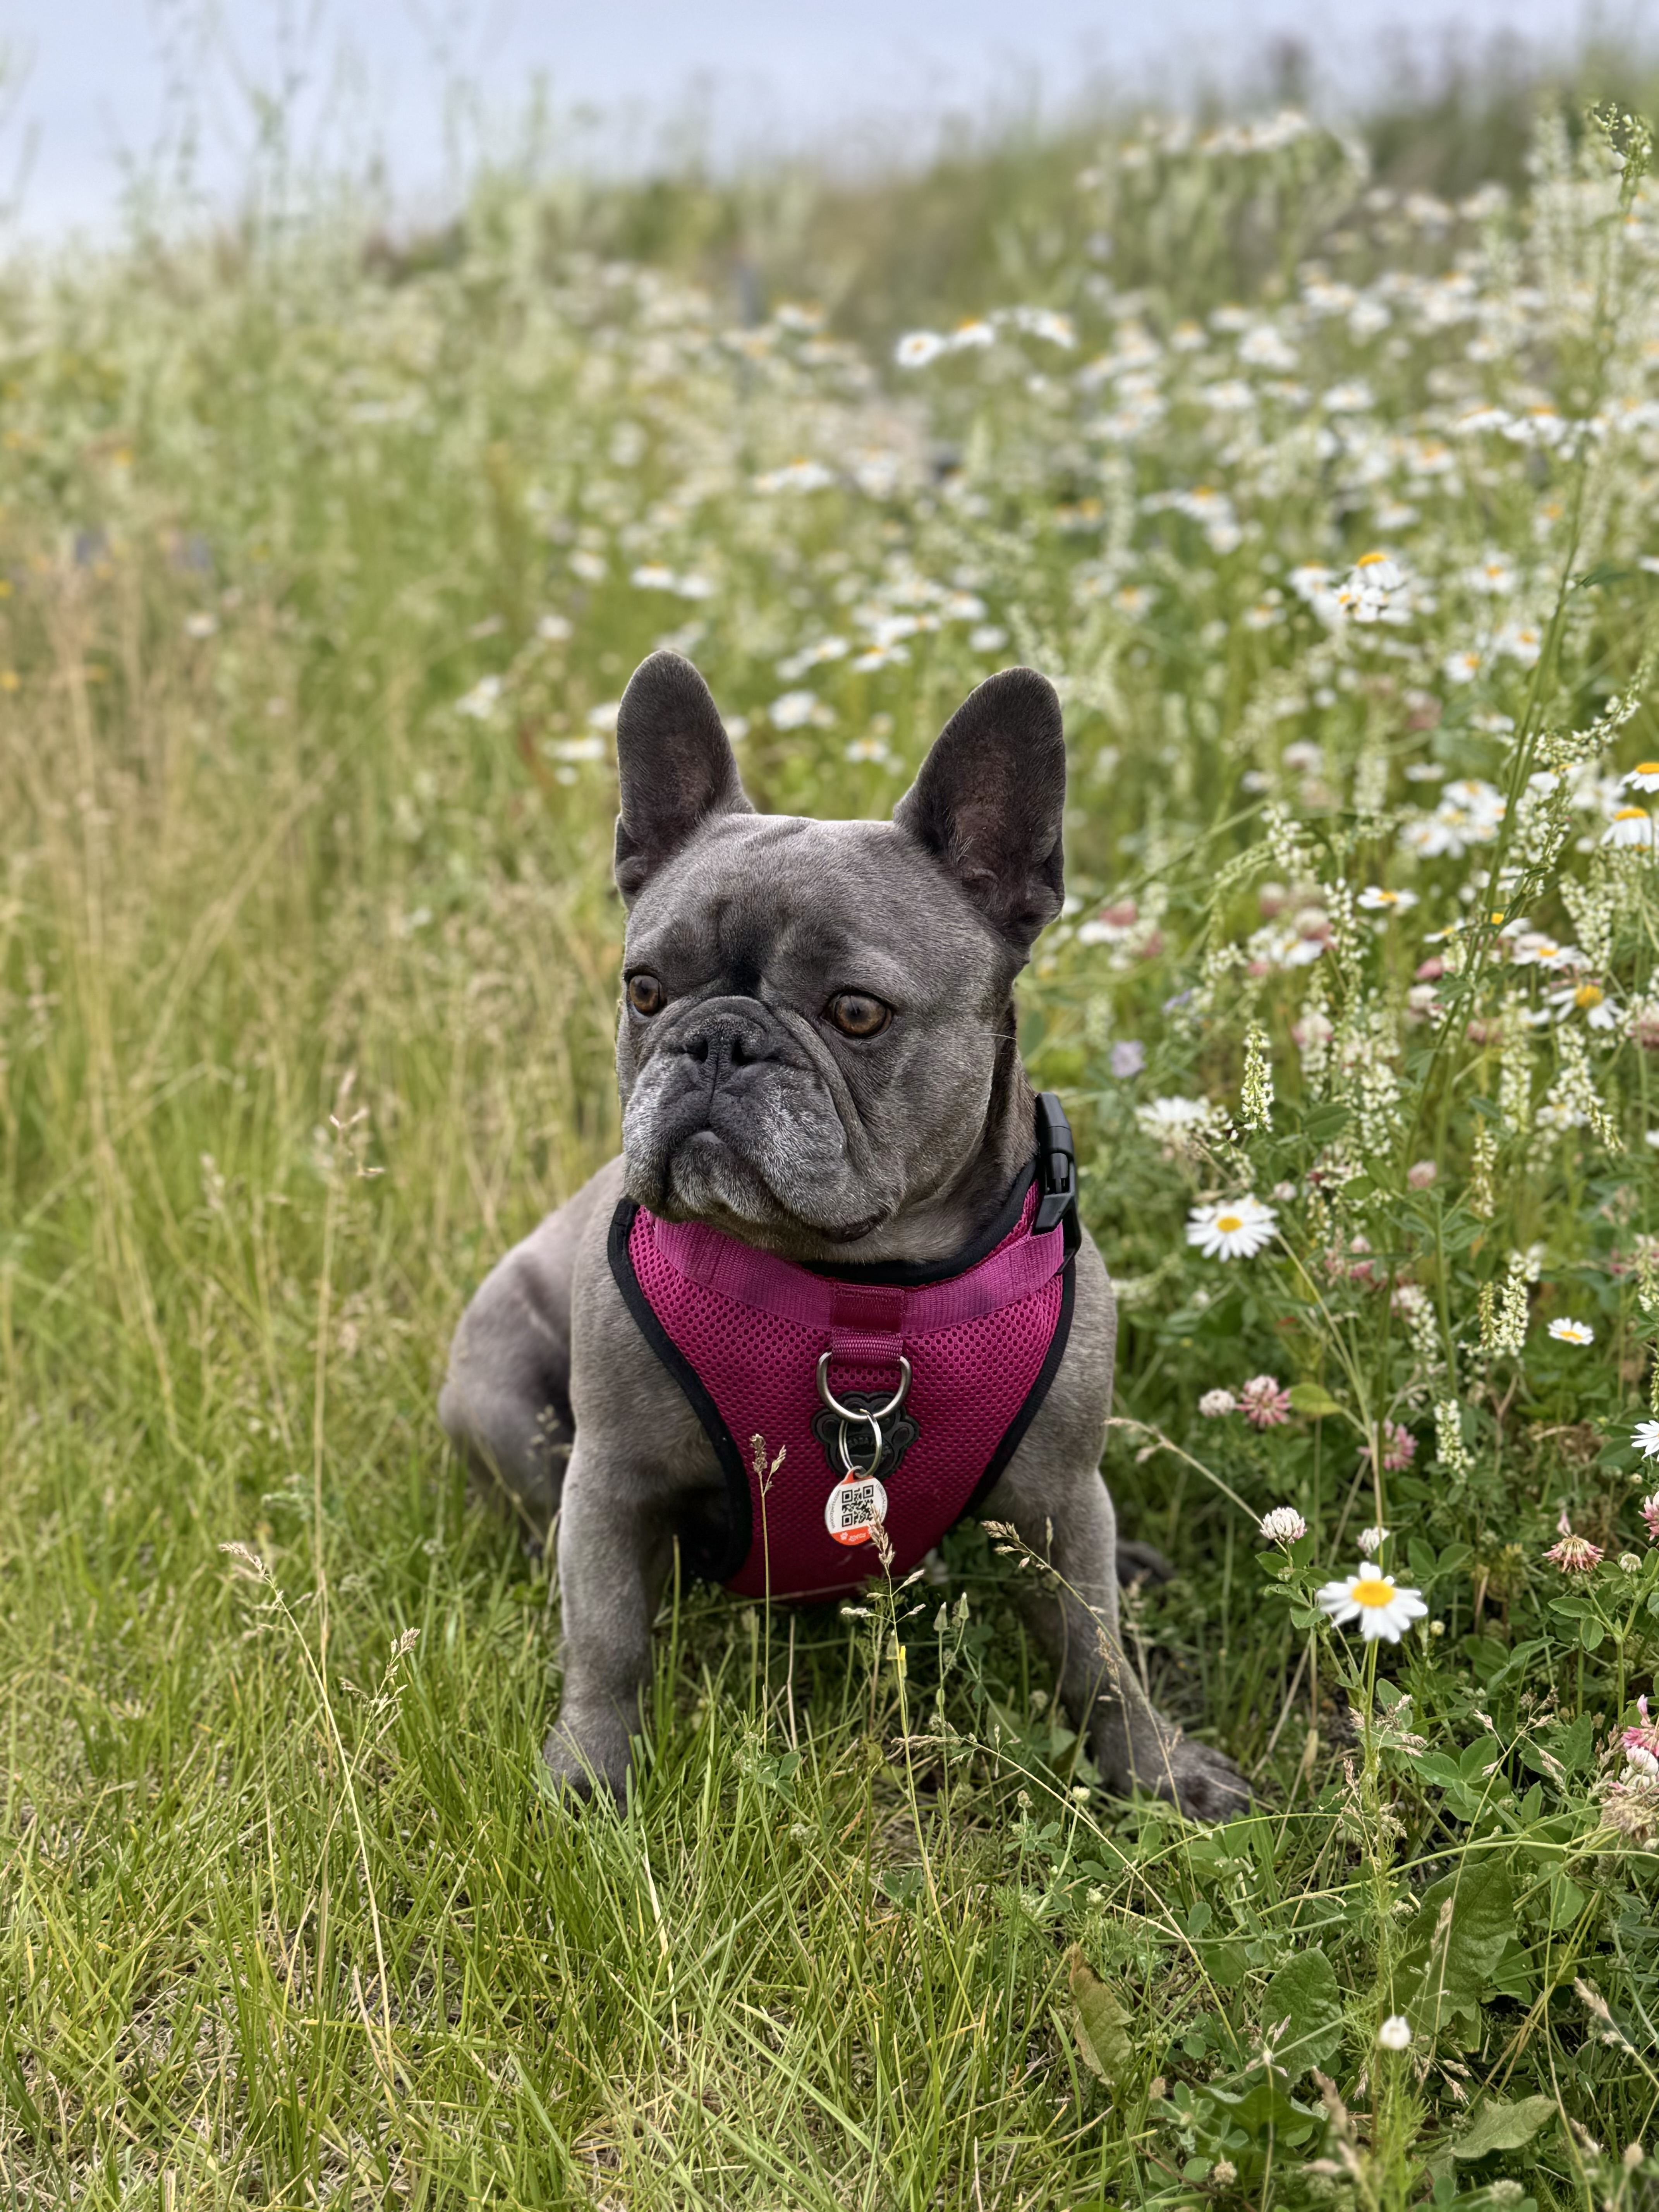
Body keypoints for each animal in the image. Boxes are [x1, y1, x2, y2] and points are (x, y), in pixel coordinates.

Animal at [439, 649, 1247, 1819]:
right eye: (646, 990)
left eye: (856, 1013)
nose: (717, 1043)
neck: (862, 1287)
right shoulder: (612, 1483)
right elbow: (605, 1640)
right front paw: (589, 1772)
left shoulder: (1061, 1493)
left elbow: (1097, 1653)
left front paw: (1157, 1769)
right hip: (497, 1395)